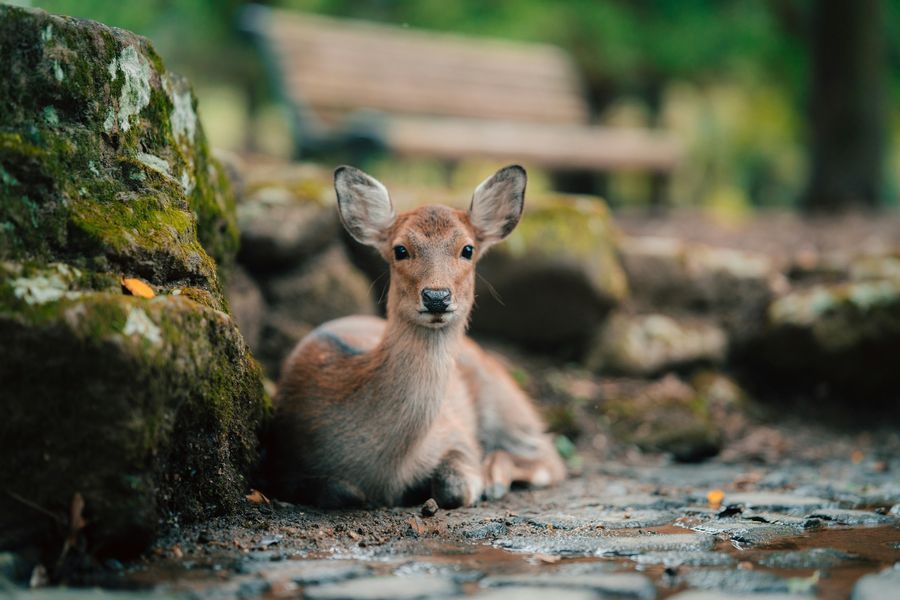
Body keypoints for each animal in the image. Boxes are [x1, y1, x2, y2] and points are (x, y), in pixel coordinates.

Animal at [266, 164, 564, 506]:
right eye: (400, 249)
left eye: (468, 249)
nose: (437, 296)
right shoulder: (283, 462)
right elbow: (343, 492)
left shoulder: (456, 433)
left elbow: (456, 488)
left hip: (506, 400)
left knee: (550, 456)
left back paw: (495, 478)